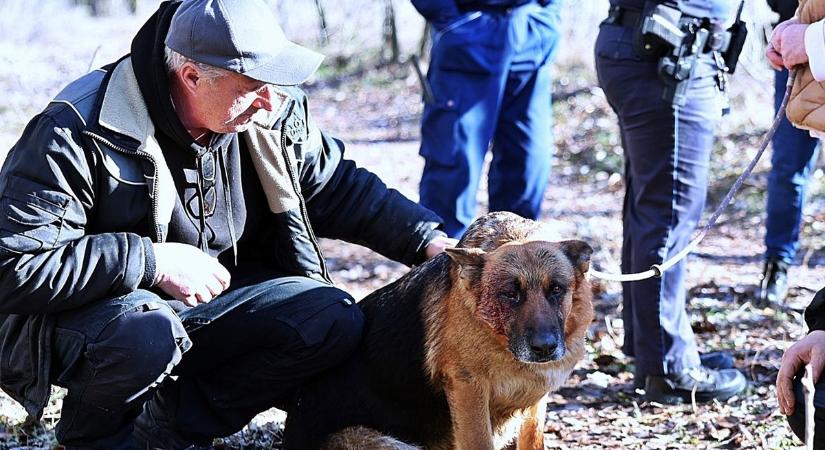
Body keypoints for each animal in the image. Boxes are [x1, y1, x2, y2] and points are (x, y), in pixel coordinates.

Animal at [284, 212, 592, 450]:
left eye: (556, 290)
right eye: (510, 294)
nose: (545, 347)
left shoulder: (534, 403)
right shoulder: (468, 389)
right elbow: (480, 442)